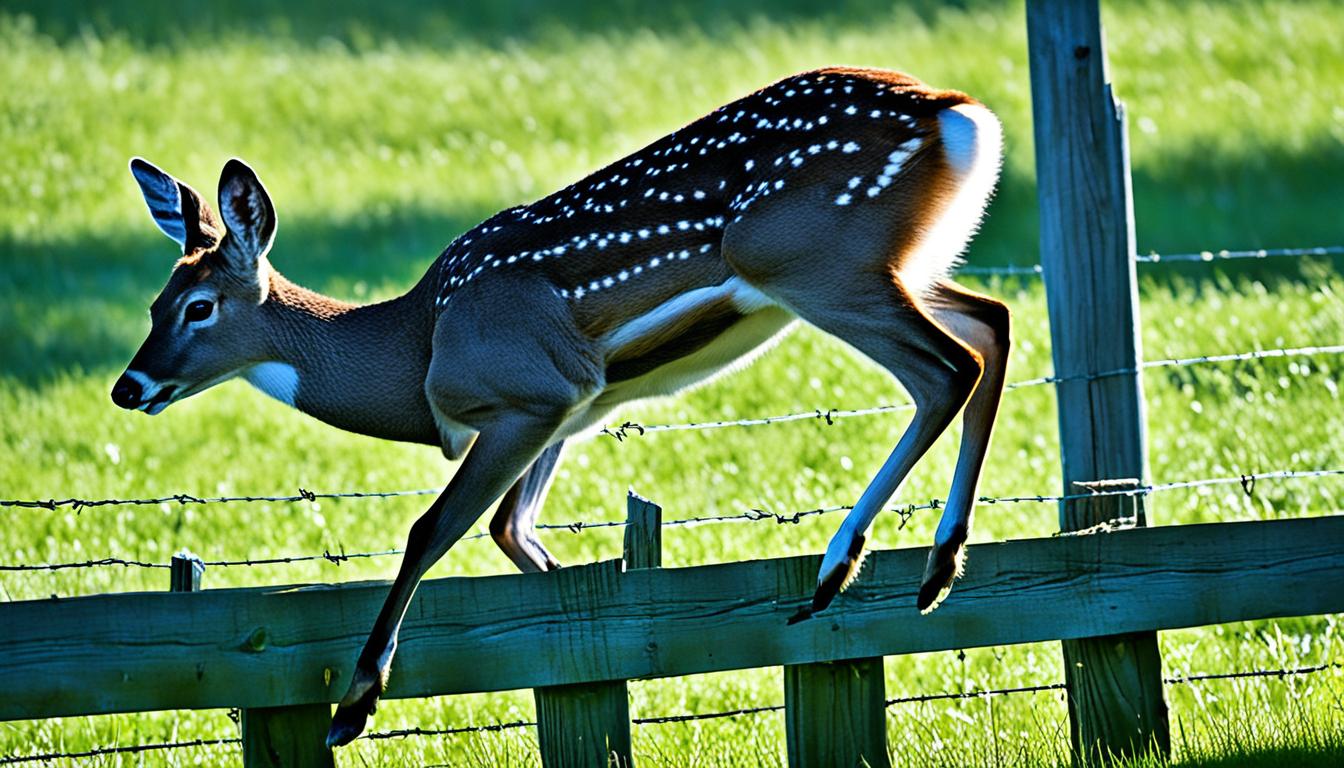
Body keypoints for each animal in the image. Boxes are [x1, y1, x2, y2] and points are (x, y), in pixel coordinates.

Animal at [115, 66, 1010, 747]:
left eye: (198, 307)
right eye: (154, 302)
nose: (130, 386)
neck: (418, 352)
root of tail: (956, 114)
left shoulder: (526, 394)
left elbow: (431, 529)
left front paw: (354, 706)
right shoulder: (574, 401)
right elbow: (519, 536)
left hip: (815, 262)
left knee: (949, 367)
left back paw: (841, 568)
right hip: (900, 264)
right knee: (992, 323)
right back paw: (937, 566)